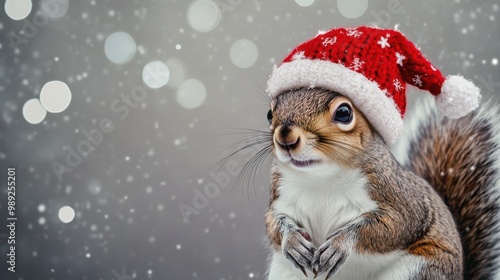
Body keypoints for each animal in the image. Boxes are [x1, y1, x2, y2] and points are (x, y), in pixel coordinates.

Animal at [260, 25, 498, 278]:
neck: (320, 179)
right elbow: (273, 223)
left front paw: (340, 244)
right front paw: (292, 241)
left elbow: (394, 225)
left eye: (344, 113)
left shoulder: (398, 196)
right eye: (269, 114)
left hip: (416, 268)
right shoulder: (280, 194)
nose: (285, 137)